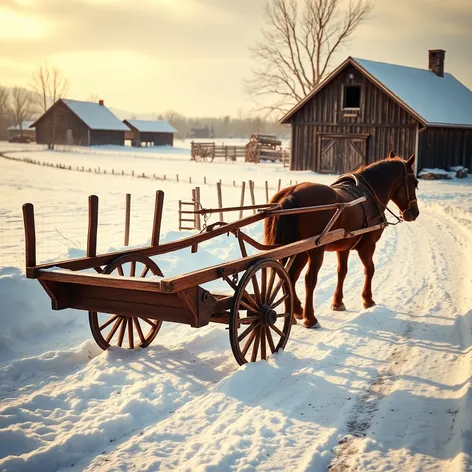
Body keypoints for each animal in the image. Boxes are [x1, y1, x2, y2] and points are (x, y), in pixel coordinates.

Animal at [264, 152, 418, 328]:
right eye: (415, 183)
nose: (415, 213)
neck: (370, 195)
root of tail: (290, 194)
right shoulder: (368, 246)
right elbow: (370, 269)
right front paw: (368, 300)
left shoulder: (343, 248)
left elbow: (342, 272)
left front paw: (337, 303)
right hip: (315, 250)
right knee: (309, 279)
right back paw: (310, 318)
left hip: (299, 251)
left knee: (289, 277)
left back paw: (296, 311)